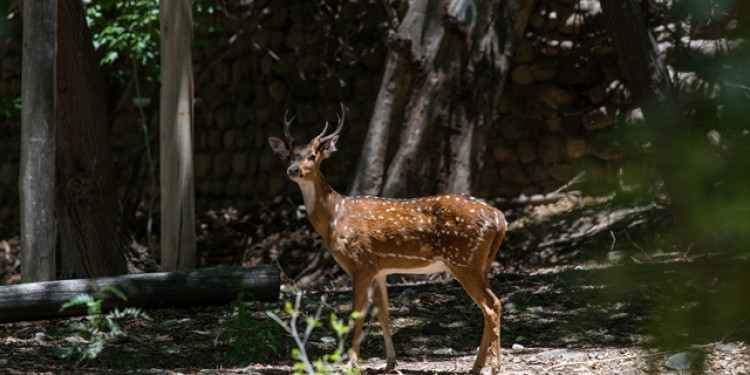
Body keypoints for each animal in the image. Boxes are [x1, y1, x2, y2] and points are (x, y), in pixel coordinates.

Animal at [268, 106, 508, 375]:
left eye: (311, 156)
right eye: (290, 156)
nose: (293, 170)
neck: (335, 216)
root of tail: (500, 218)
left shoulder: (360, 264)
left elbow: (358, 313)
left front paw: (350, 363)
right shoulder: (379, 269)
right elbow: (383, 313)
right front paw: (391, 362)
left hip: (463, 259)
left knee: (492, 305)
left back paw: (494, 366)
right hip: (481, 262)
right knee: (489, 306)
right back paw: (476, 365)